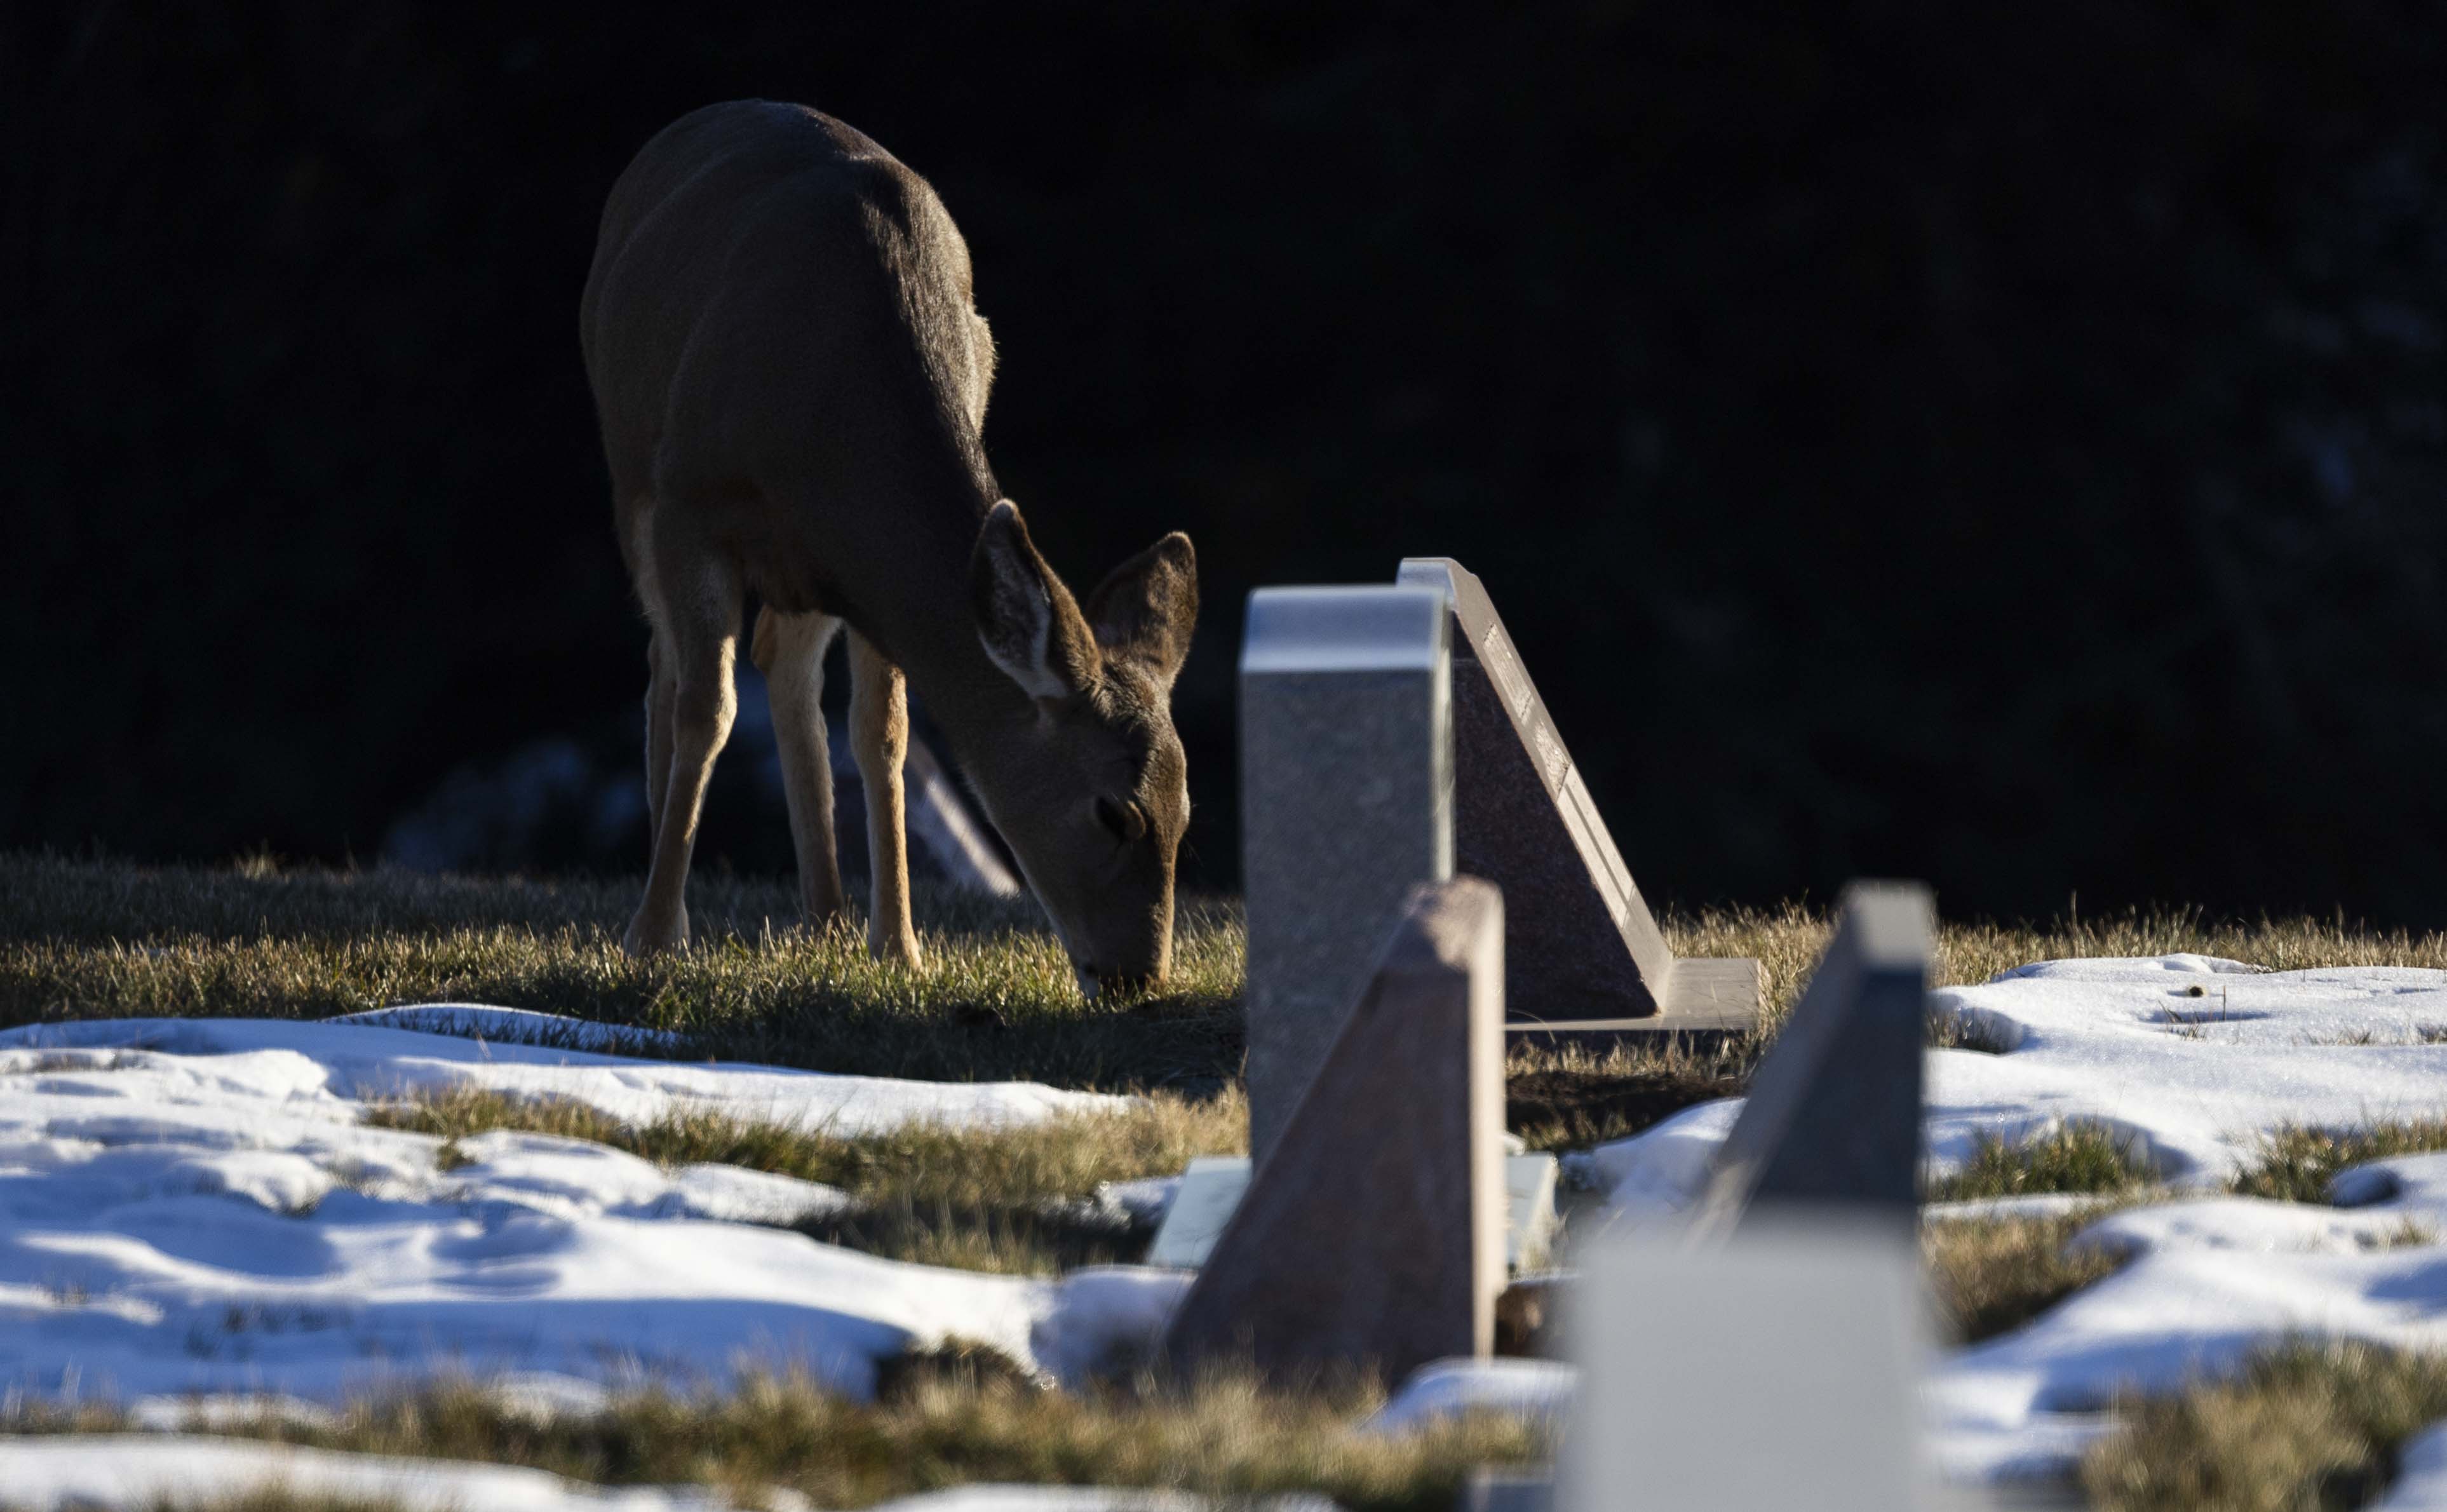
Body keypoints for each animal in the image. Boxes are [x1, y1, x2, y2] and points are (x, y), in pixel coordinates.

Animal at [592, 97, 1204, 988]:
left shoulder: (866, 564)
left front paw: (902, 947)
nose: (1139, 977)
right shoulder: (688, 498)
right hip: (632, 472)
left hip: (815, 564)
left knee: (784, 666)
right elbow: (707, 709)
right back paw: (664, 906)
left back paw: (826, 919)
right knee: (665, 672)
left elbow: (884, 733)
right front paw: (653, 939)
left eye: (1186, 810)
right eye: (1114, 812)